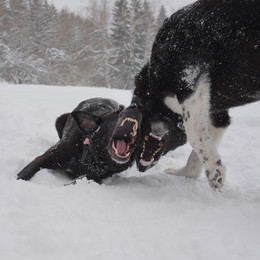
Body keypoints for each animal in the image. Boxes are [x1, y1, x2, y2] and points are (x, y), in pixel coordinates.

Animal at [109, 0, 260, 191]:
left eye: (139, 130)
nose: (139, 166)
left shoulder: (189, 80)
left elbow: (194, 135)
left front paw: (214, 169)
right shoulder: (217, 115)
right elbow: (196, 153)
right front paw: (188, 173)